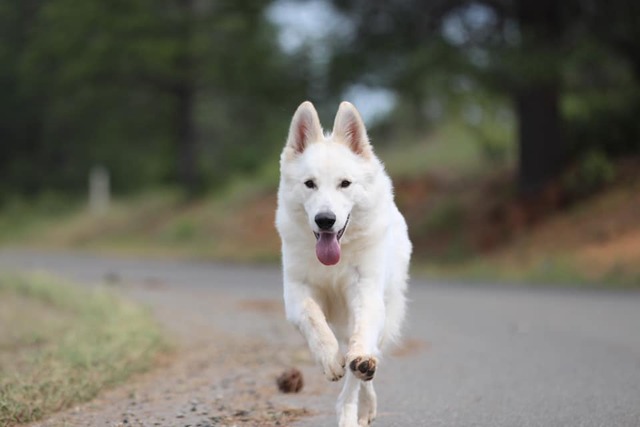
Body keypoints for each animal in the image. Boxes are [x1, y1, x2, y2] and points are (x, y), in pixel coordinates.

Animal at [276, 101, 410, 427]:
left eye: (345, 184)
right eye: (310, 184)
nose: (325, 220)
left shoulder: (366, 293)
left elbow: (360, 345)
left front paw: (358, 364)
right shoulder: (296, 293)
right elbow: (314, 319)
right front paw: (329, 359)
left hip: (384, 312)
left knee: (361, 363)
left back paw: (355, 405)